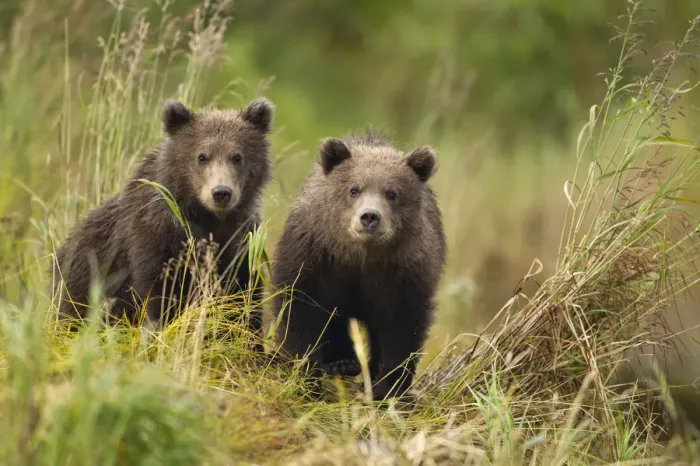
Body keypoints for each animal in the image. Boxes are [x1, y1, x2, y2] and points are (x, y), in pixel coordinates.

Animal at [53, 97, 274, 348]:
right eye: (201, 156)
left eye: (237, 156)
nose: (221, 193)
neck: (206, 216)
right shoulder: (153, 233)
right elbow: (159, 292)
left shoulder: (240, 237)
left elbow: (243, 291)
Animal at [271, 129, 446, 401]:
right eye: (354, 189)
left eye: (392, 193)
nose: (370, 216)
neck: (358, 258)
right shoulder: (313, 260)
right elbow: (298, 309)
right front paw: (307, 375)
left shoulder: (403, 276)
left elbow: (402, 331)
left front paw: (388, 388)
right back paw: (342, 362)